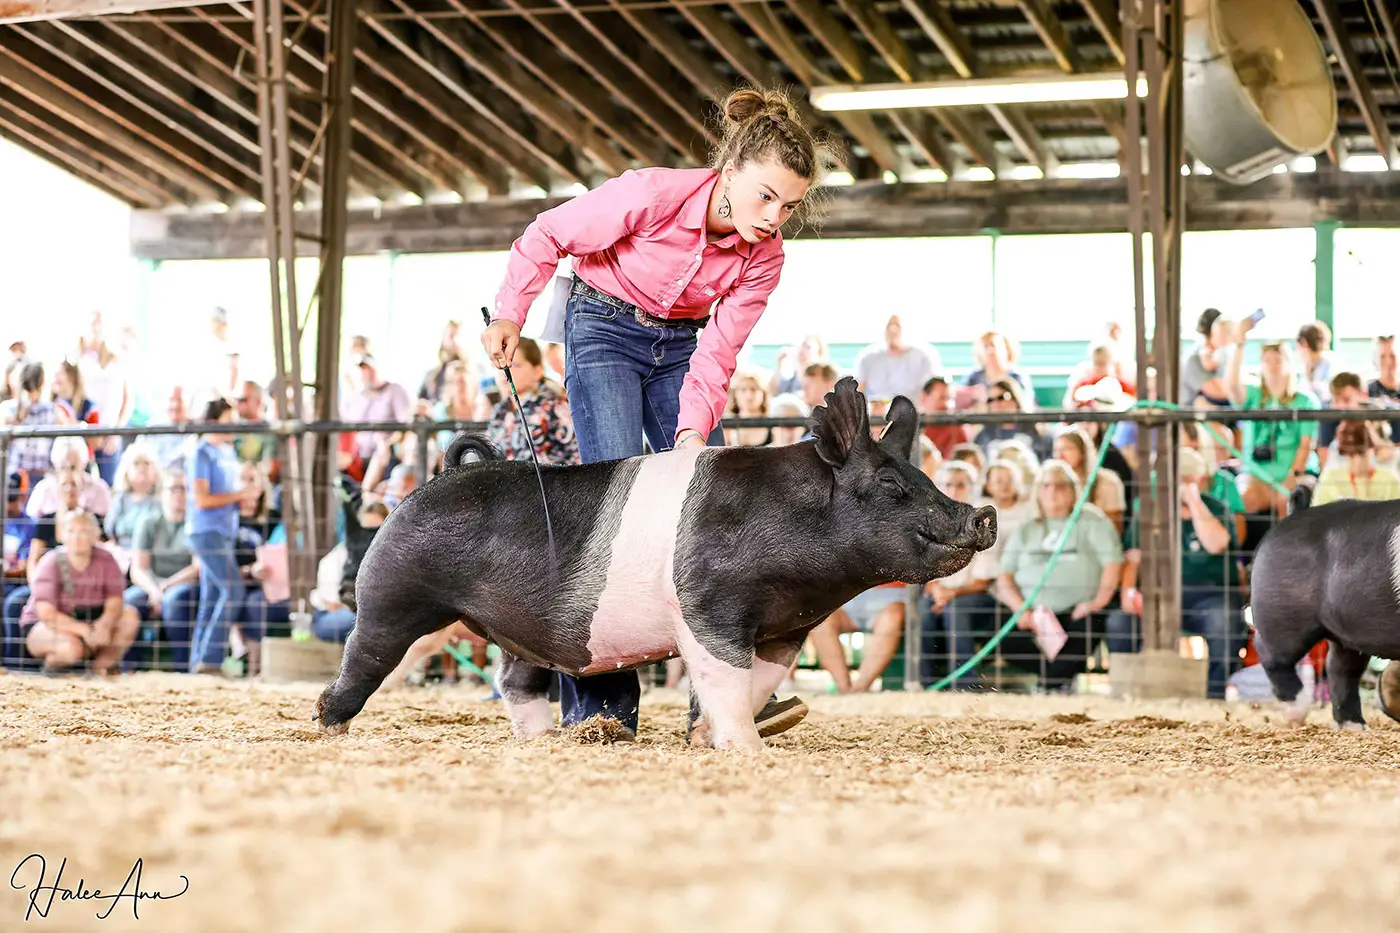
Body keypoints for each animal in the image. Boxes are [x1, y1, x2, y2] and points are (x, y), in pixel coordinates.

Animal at [313, 377, 998, 750]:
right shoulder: (708, 606)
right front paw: (748, 750)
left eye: (924, 477)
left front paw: (712, 736)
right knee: (362, 661)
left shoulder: (785, 628)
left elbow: (756, 683)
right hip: (392, 598)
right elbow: (724, 678)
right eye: (890, 484)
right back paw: (327, 728)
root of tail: (441, 476)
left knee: (516, 681)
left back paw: (546, 741)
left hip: (512, 628)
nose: (983, 513)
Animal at [1249, 493, 1400, 730]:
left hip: (1347, 630)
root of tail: (1296, 513)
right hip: (1282, 613)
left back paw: (1354, 727)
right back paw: (1297, 713)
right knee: (1269, 653)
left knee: (1340, 668)